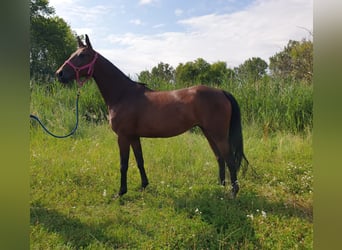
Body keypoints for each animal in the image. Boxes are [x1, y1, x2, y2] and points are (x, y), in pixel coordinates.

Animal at [56, 34, 248, 199]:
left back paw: (233, 193)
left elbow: (123, 164)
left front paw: (120, 192)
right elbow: (140, 161)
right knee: (220, 158)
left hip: (218, 135)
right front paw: (143, 185)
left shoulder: (123, 137)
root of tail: (221, 92)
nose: (59, 74)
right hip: (209, 133)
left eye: (82, 55)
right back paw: (221, 186)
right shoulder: (134, 137)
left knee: (230, 160)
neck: (123, 94)